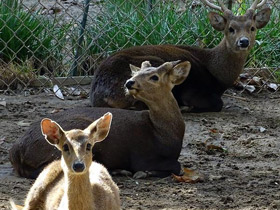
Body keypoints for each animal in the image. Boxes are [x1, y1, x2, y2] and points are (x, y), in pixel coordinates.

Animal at [9, 60, 191, 179]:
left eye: (154, 77)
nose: (129, 82)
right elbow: (177, 166)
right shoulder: (141, 156)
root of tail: (17, 152)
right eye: (136, 73)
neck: (165, 133)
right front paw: (143, 173)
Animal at [89, 0, 272, 113]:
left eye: (252, 27)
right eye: (231, 28)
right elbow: (218, 103)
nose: (244, 42)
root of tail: (99, 92)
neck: (218, 75)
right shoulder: (194, 92)